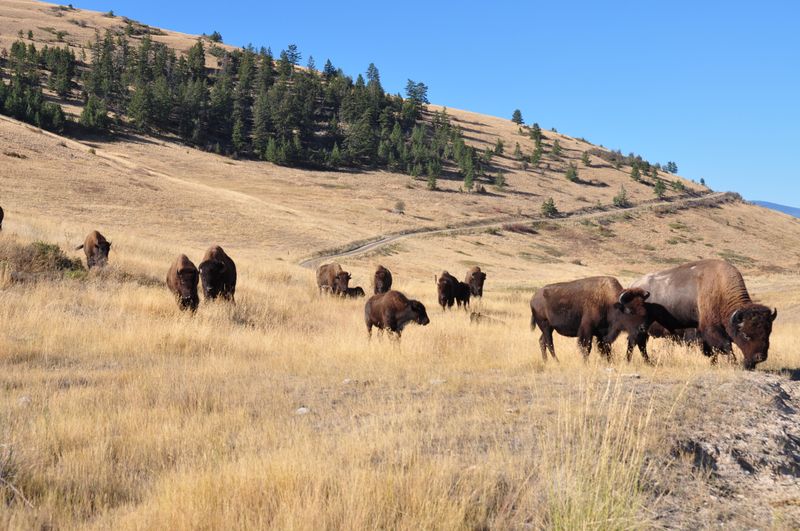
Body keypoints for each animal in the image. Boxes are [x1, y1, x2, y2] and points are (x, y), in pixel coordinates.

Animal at [628, 259, 777, 369]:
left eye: (768, 333)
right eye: (745, 335)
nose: (760, 357)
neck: (720, 289)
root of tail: (633, 285)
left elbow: (713, 350)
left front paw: (714, 364)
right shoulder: (710, 329)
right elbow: (725, 346)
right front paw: (733, 363)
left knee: (640, 344)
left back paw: (648, 362)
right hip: (640, 328)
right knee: (635, 342)